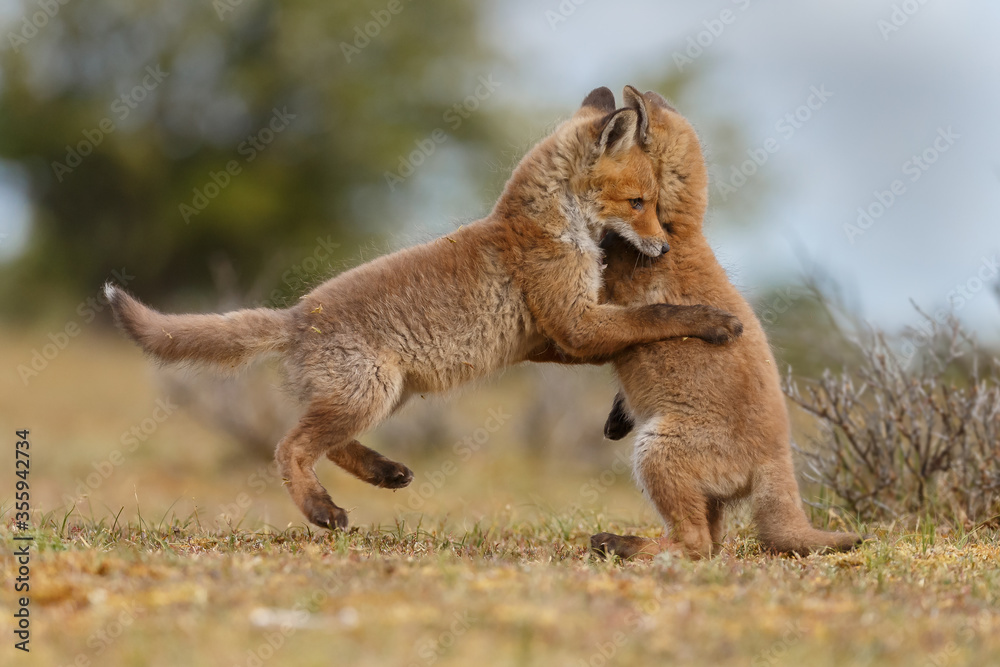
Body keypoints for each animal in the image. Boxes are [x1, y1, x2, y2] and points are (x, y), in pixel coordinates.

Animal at [105, 87, 743, 531]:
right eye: (639, 202)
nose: (664, 248)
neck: (551, 226)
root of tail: (295, 315)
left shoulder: (553, 338)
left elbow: (626, 344)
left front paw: (619, 414)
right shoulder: (574, 325)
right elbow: (654, 320)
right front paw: (713, 321)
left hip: (383, 394)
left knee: (325, 443)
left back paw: (383, 472)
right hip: (368, 393)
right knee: (289, 447)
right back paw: (321, 511)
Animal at [538, 87, 862, 558]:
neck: (679, 232)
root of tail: (778, 456)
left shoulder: (595, 304)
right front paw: (617, 416)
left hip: (656, 452)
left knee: (693, 545)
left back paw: (621, 544)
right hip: (702, 493)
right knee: (710, 544)